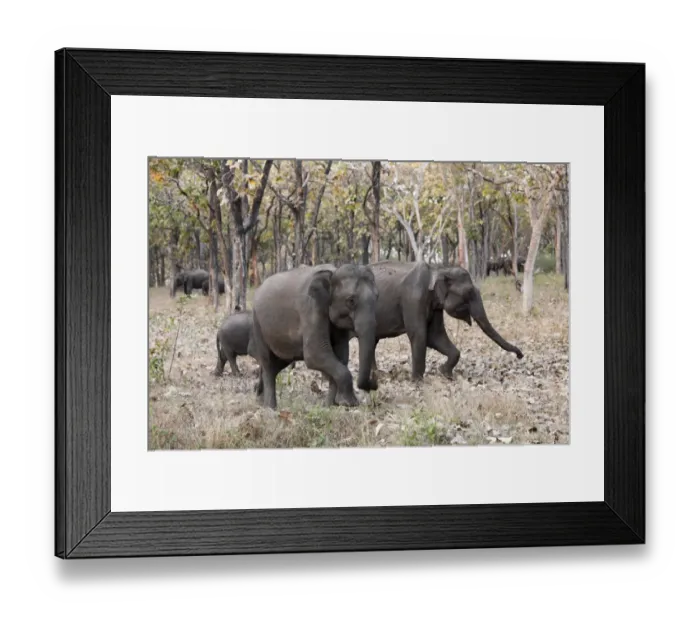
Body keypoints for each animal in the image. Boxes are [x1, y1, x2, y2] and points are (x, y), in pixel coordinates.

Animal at [249, 263, 379, 410]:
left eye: (377, 297)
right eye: (351, 300)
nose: (374, 383)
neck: (333, 272)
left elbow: (341, 356)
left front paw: (331, 406)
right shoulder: (311, 309)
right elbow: (315, 354)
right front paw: (349, 403)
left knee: (278, 363)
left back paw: (260, 401)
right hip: (257, 324)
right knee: (268, 364)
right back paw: (271, 408)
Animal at [364, 261, 523, 382]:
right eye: (469, 292)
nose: (520, 355)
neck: (438, 269)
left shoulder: (435, 306)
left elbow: (435, 336)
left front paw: (444, 373)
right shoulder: (413, 299)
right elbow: (420, 335)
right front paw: (417, 382)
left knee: (371, 342)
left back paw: (376, 375)